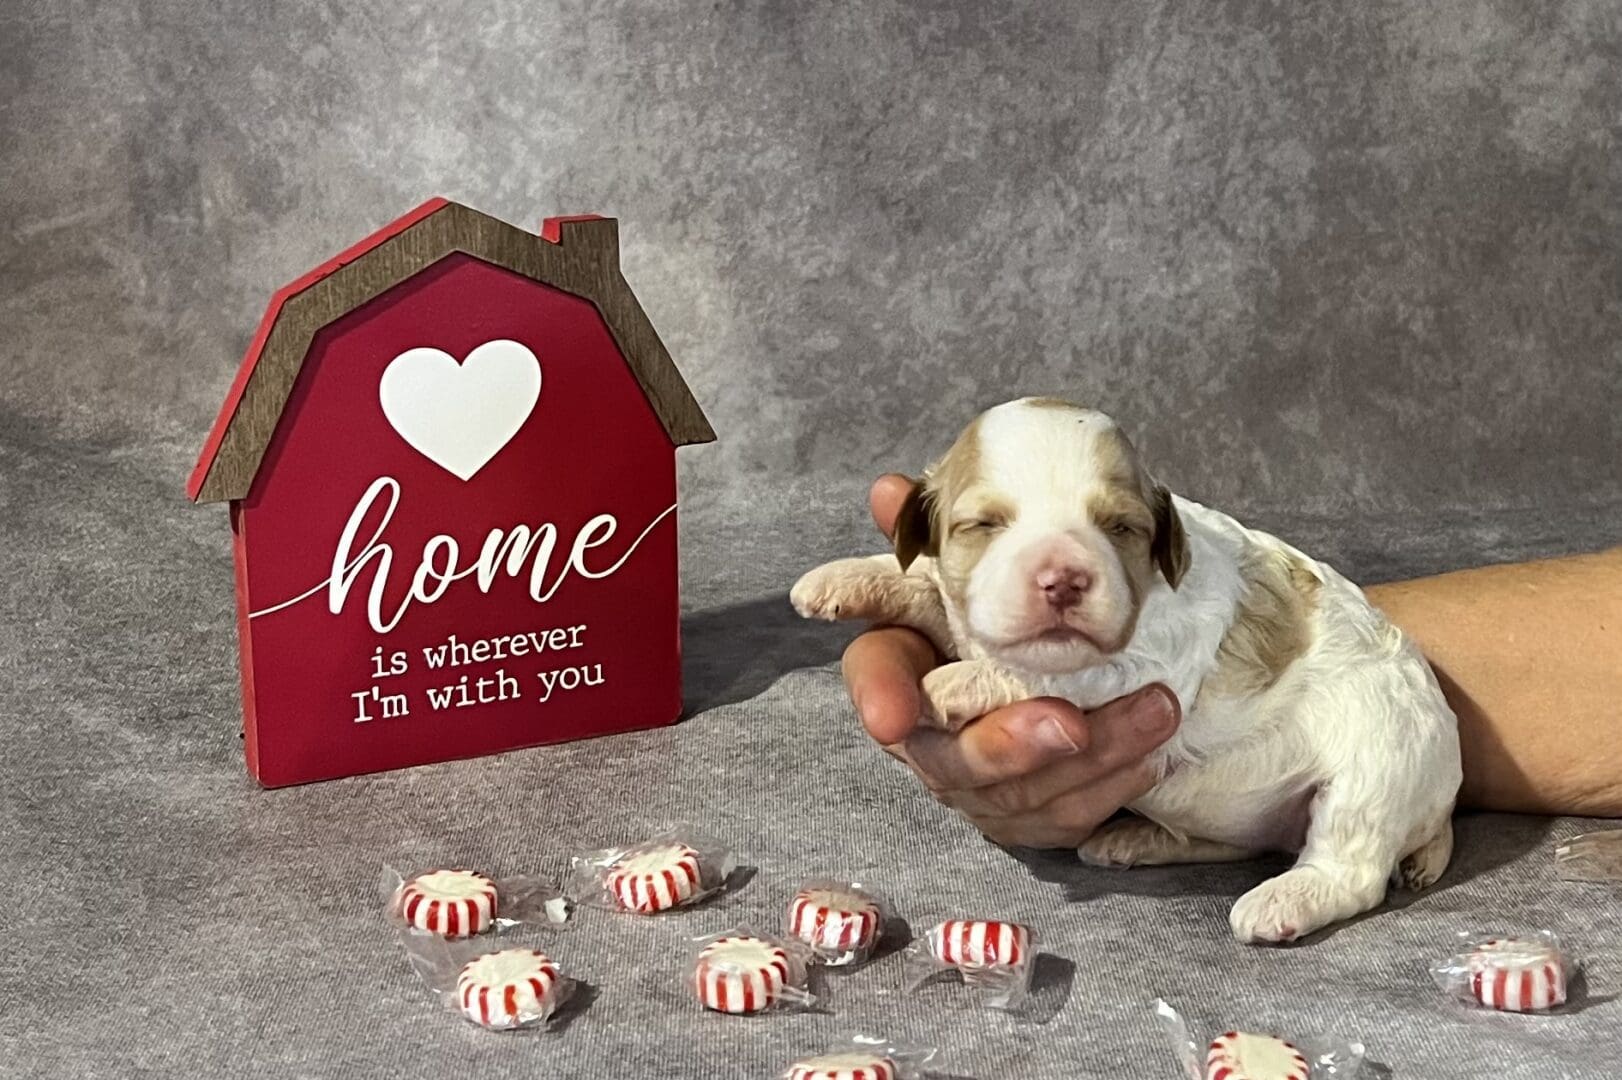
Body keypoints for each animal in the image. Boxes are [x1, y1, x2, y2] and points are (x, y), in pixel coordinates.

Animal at [791, 397, 1466, 940]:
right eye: (984, 525)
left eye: (1119, 527)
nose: (1063, 579)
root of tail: (1441, 802)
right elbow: (927, 584)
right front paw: (837, 579)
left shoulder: (1151, 662)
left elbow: (1054, 670)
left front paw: (951, 683)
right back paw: (1136, 839)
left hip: (1376, 764)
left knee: (1352, 866)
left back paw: (1282, 900)